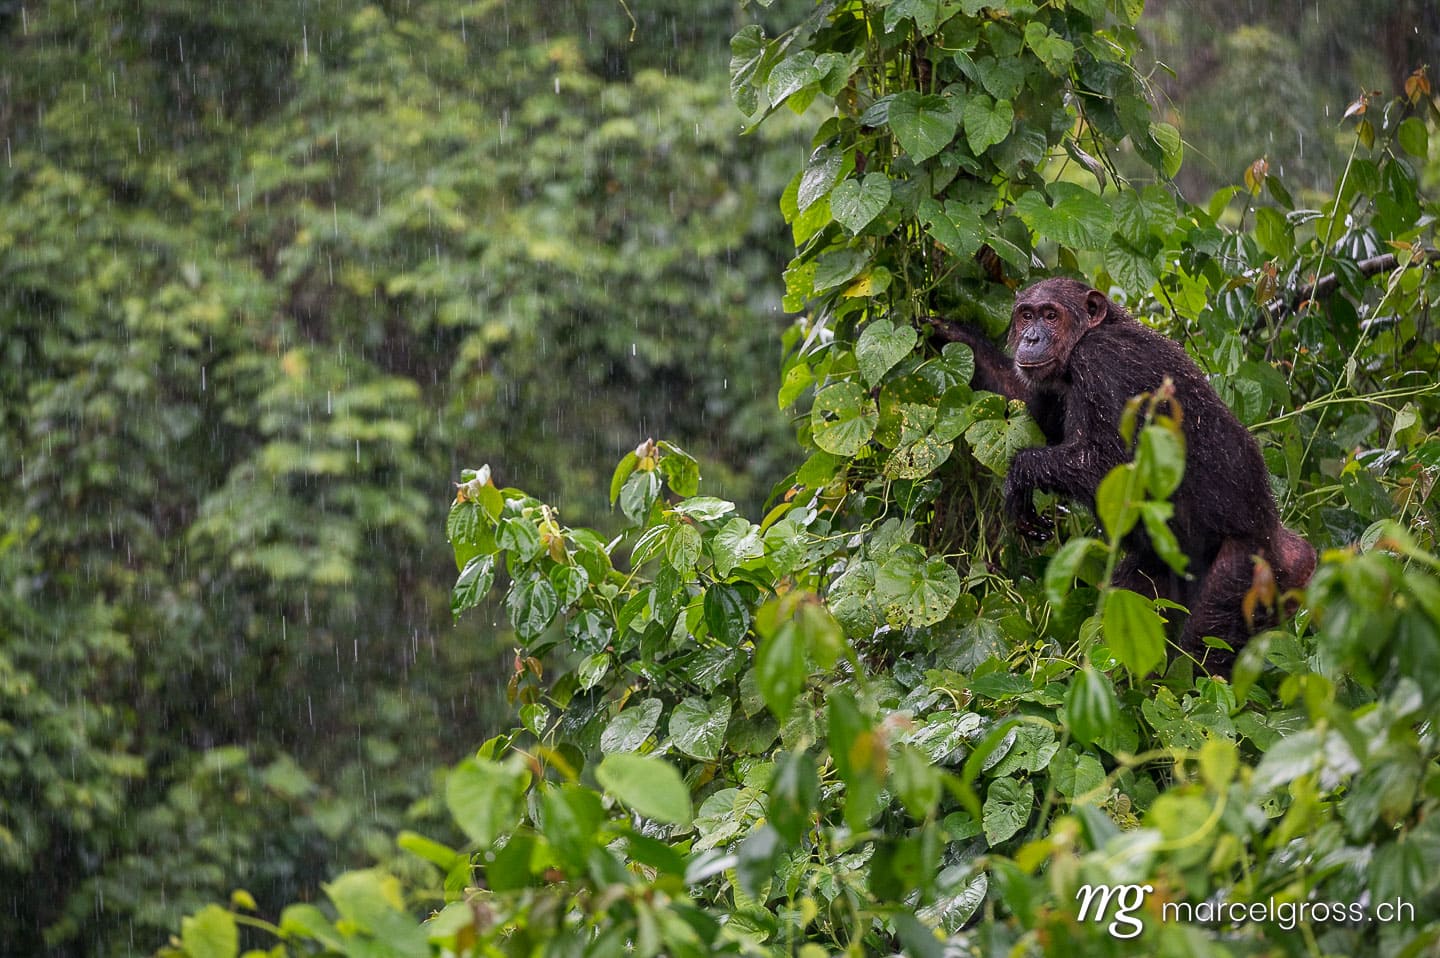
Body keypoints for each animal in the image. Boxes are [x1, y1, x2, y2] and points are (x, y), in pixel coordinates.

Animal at [930, 277, 1316, 672]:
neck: (1087, 336)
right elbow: (1025, 407)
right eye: (1026, 315)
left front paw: (1020, 476)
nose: (1032, 337)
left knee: (1205, 649)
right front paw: (952, 334)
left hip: (1246, 575)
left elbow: (1111, 468)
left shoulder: (1103, 364)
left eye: (1050, 315)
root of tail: (1285, 546)